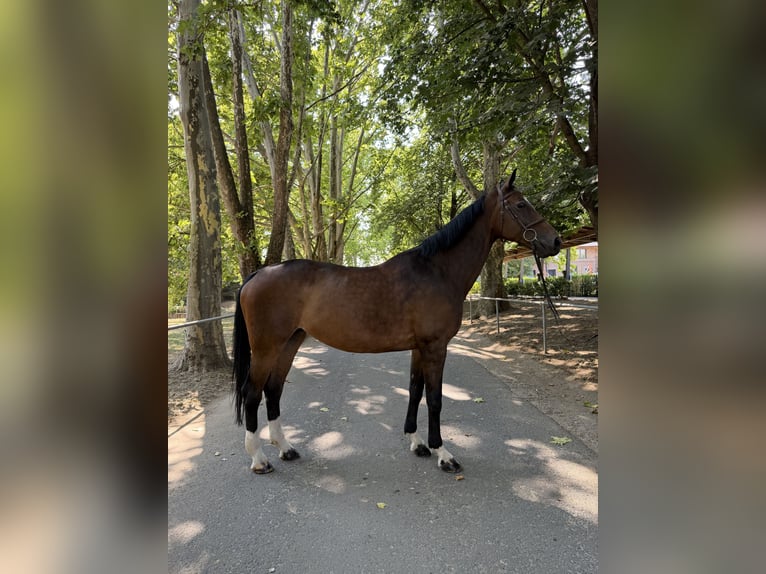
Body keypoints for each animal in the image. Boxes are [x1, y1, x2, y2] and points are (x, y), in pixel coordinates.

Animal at [232, 169, 561, 474]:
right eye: (521, 205)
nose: (555, 241)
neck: (437, 271)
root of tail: (258, 274)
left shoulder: (419, 348)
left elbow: (415, 390)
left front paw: (417, 443)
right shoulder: (435, 347)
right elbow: (435, 398)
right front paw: (443, 454)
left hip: (290, 342)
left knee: (273, 390)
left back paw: (286, 448)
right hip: (266, 348)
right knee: (252, 393)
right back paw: (259, 459)